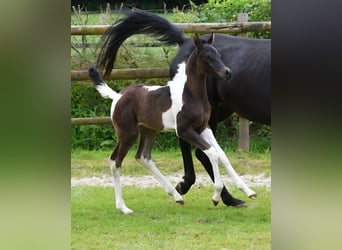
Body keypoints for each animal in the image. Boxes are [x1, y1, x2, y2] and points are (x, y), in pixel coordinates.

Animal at [95, 9, 270, 207]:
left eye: (218, 54)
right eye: (206, 57)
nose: (227, 72)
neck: (190, 94)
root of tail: (117, 96)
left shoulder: (203, 127)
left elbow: (220, 154)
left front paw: (248, 191)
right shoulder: (185, 129)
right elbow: (211, 153)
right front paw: (216, 195)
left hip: (149, 130)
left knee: (143, 156)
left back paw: (177, 194)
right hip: (129, 133)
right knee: (116, 161)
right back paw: (125, 206)